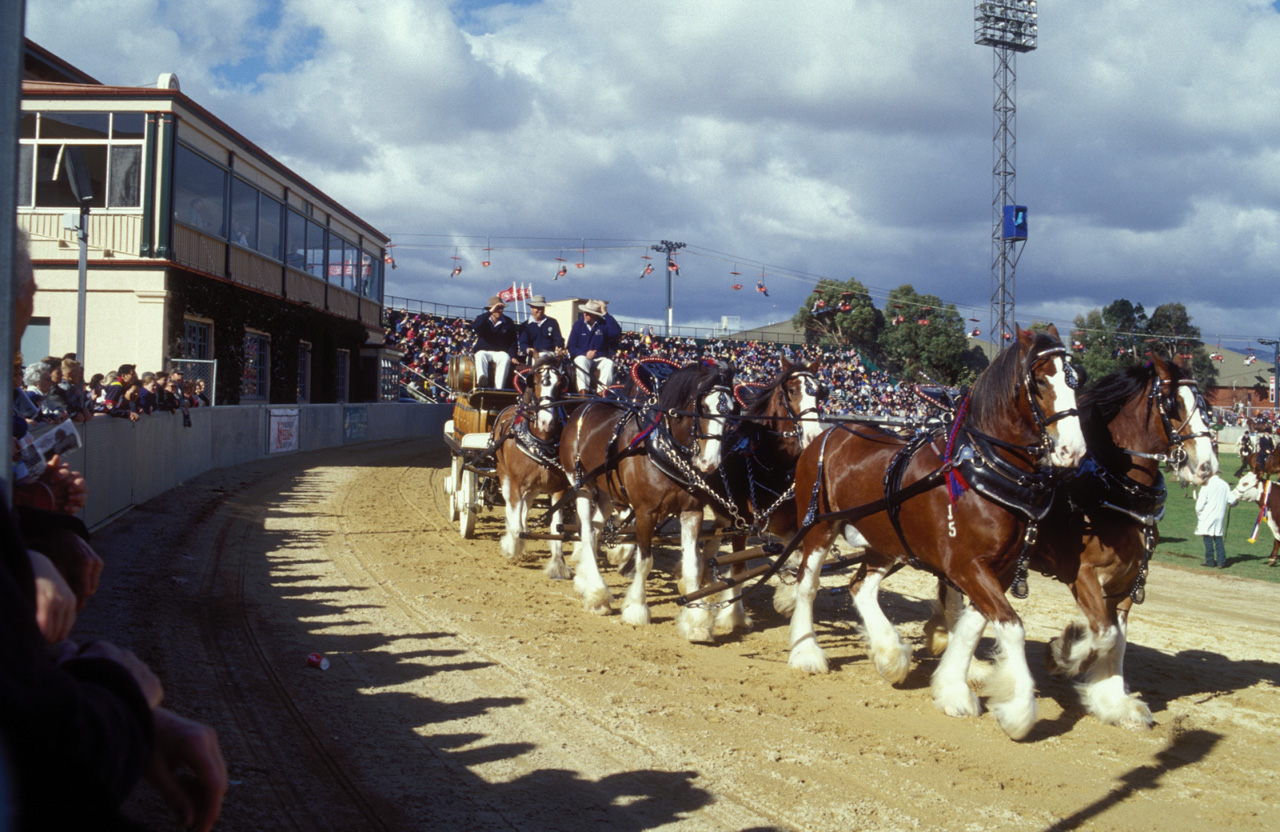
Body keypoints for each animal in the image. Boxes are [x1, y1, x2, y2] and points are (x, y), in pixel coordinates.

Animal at [488, 355, 570, 576]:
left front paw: (558, 565)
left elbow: (557, 527)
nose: (546, 421)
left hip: (533, 487)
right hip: (504, 475)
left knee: (526, 505)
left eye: (561, 384)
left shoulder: (559, 490)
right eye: (536, 383)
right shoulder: (516, 484)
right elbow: (514, 519)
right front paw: (511, 546)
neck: (540, 444)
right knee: (511, 505)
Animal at [555, 358, 737, 637]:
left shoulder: (692, 512)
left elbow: (693, 564)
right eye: (703, 407)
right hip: (581, 483)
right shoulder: (645, 513)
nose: (709, 463)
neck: (661, 449)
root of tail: (585, 405)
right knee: (585, 530)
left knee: (595, 530)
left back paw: (587, 583)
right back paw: (598, 594)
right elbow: (645, 561)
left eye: (731, 411)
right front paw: (637, 609)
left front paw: (696, 622)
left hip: (606, 491)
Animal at [778, 325, 1080, 737]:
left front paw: (953, 688)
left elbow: (972, 626)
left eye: (1076, 379)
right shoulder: (966, 565)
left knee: (861, 586)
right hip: (820, 527)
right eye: (1040, 380)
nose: (1074, 450)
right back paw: (806, 651)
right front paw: (1018, 710)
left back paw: (890, 654)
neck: (983, 470)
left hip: (885, 540)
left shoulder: (995, 570)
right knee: (808, 584)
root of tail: (826, 435)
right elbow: (1011, 626)